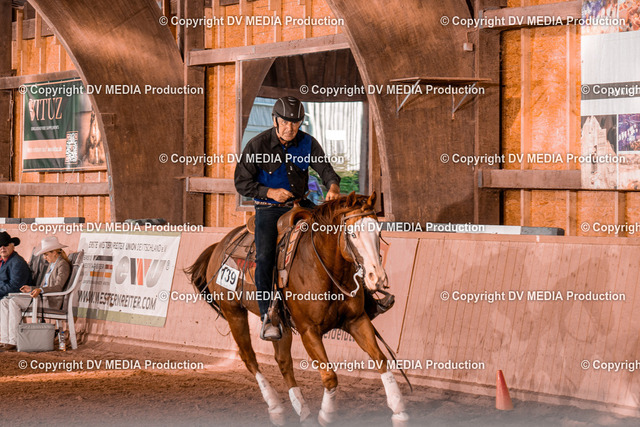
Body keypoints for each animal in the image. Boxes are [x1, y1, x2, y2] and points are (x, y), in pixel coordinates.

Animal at [186, 192, 409, 426]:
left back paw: (301, 409)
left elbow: (381, 359)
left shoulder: (357, 321)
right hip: (234, 313)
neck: (322, 268)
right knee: (249, 357)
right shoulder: (308, 331)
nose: (378, 278)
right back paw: (275, 405)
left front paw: (398, 409)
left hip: (279, 324)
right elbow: (329, 376)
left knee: (283, 361)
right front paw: (326, 414)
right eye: (353, 234)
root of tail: (219, 246)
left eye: (378, 232)